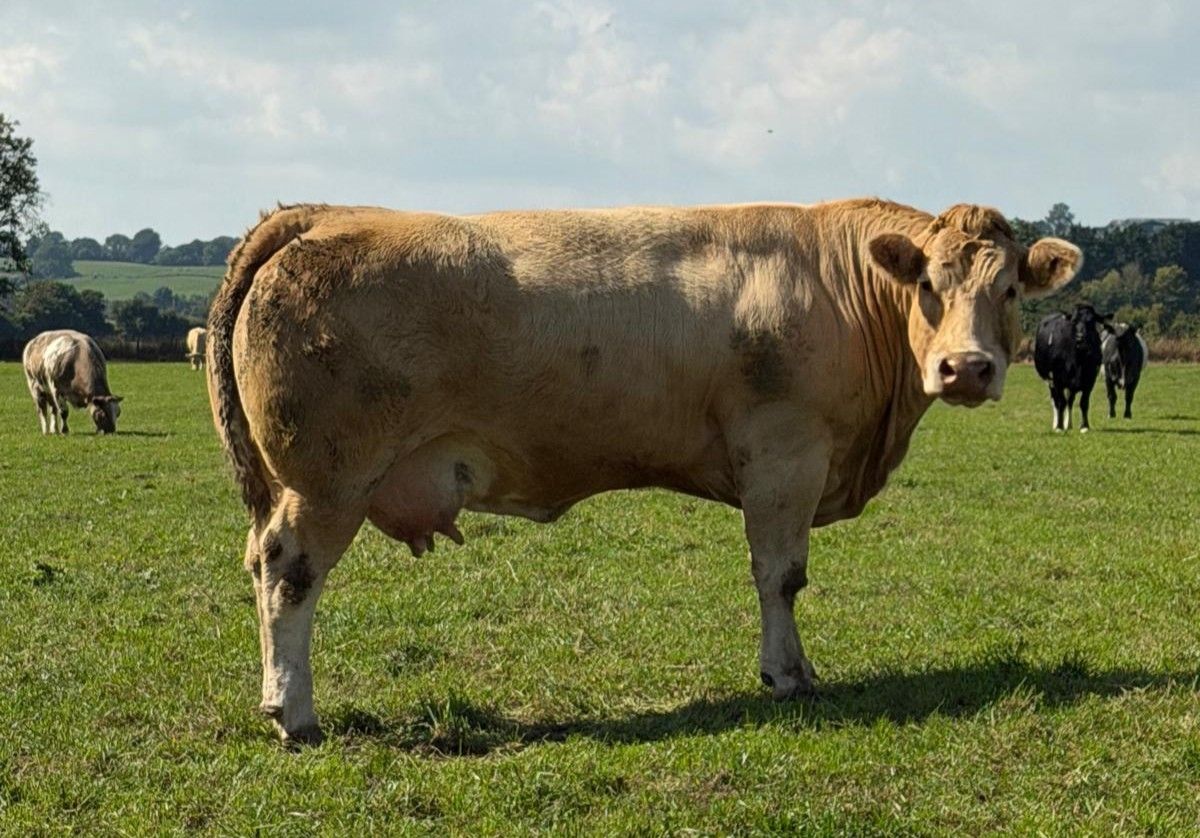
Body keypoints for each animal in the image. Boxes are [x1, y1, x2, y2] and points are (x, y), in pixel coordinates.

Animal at [207, 200, 1081, 745]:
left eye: (1009, 289)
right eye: (928, 285)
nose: (965, 369)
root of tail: (321, 213)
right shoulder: (785, 455)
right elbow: (781, 576)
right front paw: (787, 674)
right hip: (327, 480)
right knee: (288, 575)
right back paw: (293, 711)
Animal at [1033, 304, 1109, 433]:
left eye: (1091, 321)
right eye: (1073, 321)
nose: (1080, 338)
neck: (1078, 360)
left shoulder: (1090, 379)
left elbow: (1084, 402)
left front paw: (1084, 426)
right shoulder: (1057, 379)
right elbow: (1061, 403)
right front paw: (1059, 427)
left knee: (1070, 400)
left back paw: (1068, 424)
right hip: (1050, 381)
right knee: (1055, 401)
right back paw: (1056, 424)